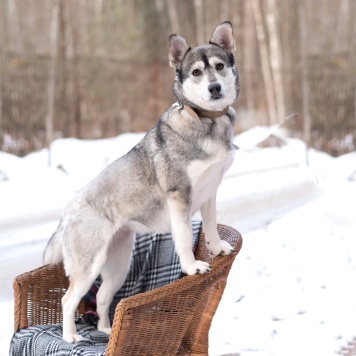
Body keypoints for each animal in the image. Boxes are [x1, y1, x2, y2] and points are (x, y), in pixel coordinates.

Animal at [43, 20, 241, 342]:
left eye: (219, 66)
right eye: (196, 72)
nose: (215, 88)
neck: (205, 120)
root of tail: (69, 207)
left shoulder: (210, 190)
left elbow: (211, 226)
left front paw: (218, 247)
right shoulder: (179, 196)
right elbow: (183, 238)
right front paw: (192, 267)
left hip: (118, 266)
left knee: (102, 298)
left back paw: (106, 329)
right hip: (88, 266)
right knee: (68, 299)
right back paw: (70, 336)